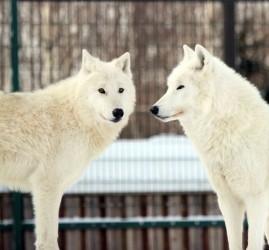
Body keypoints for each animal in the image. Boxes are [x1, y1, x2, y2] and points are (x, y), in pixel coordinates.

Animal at [0, 49, 135, 249]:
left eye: (120, 90)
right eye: (101, 90)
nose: (118, 112)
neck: (76, 115)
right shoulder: (47, 184)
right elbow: (47, 239)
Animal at [151, 44, 269, 249]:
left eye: (180, 87)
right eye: (169, 87)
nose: (153, 109)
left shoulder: (256, 198)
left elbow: (252, 244)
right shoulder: (227, 199)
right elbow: (234, 244)